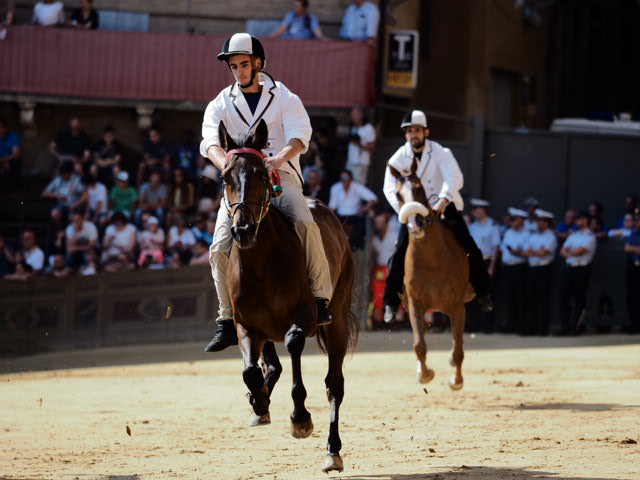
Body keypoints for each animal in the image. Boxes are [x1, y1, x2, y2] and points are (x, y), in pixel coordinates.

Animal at [217, 119, 357, 473]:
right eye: (225, 176)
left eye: (262, 174)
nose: (242, 231)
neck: (261, 262)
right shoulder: (246, 326)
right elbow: (250, 371)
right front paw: (258, 400)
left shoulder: (304, 315)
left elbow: (294, 345)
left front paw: (300, 418)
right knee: (271, 366)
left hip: (337, 323)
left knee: (334, 384)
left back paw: (332, 451)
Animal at [389, 156, 474, 390]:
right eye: (398, 195)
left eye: (419, 188)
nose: (415, 223)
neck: (433, 262)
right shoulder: (415, 304)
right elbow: (419, 344)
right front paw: (425, 374)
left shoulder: (457, 306)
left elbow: (458, 348)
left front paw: (456, 380)